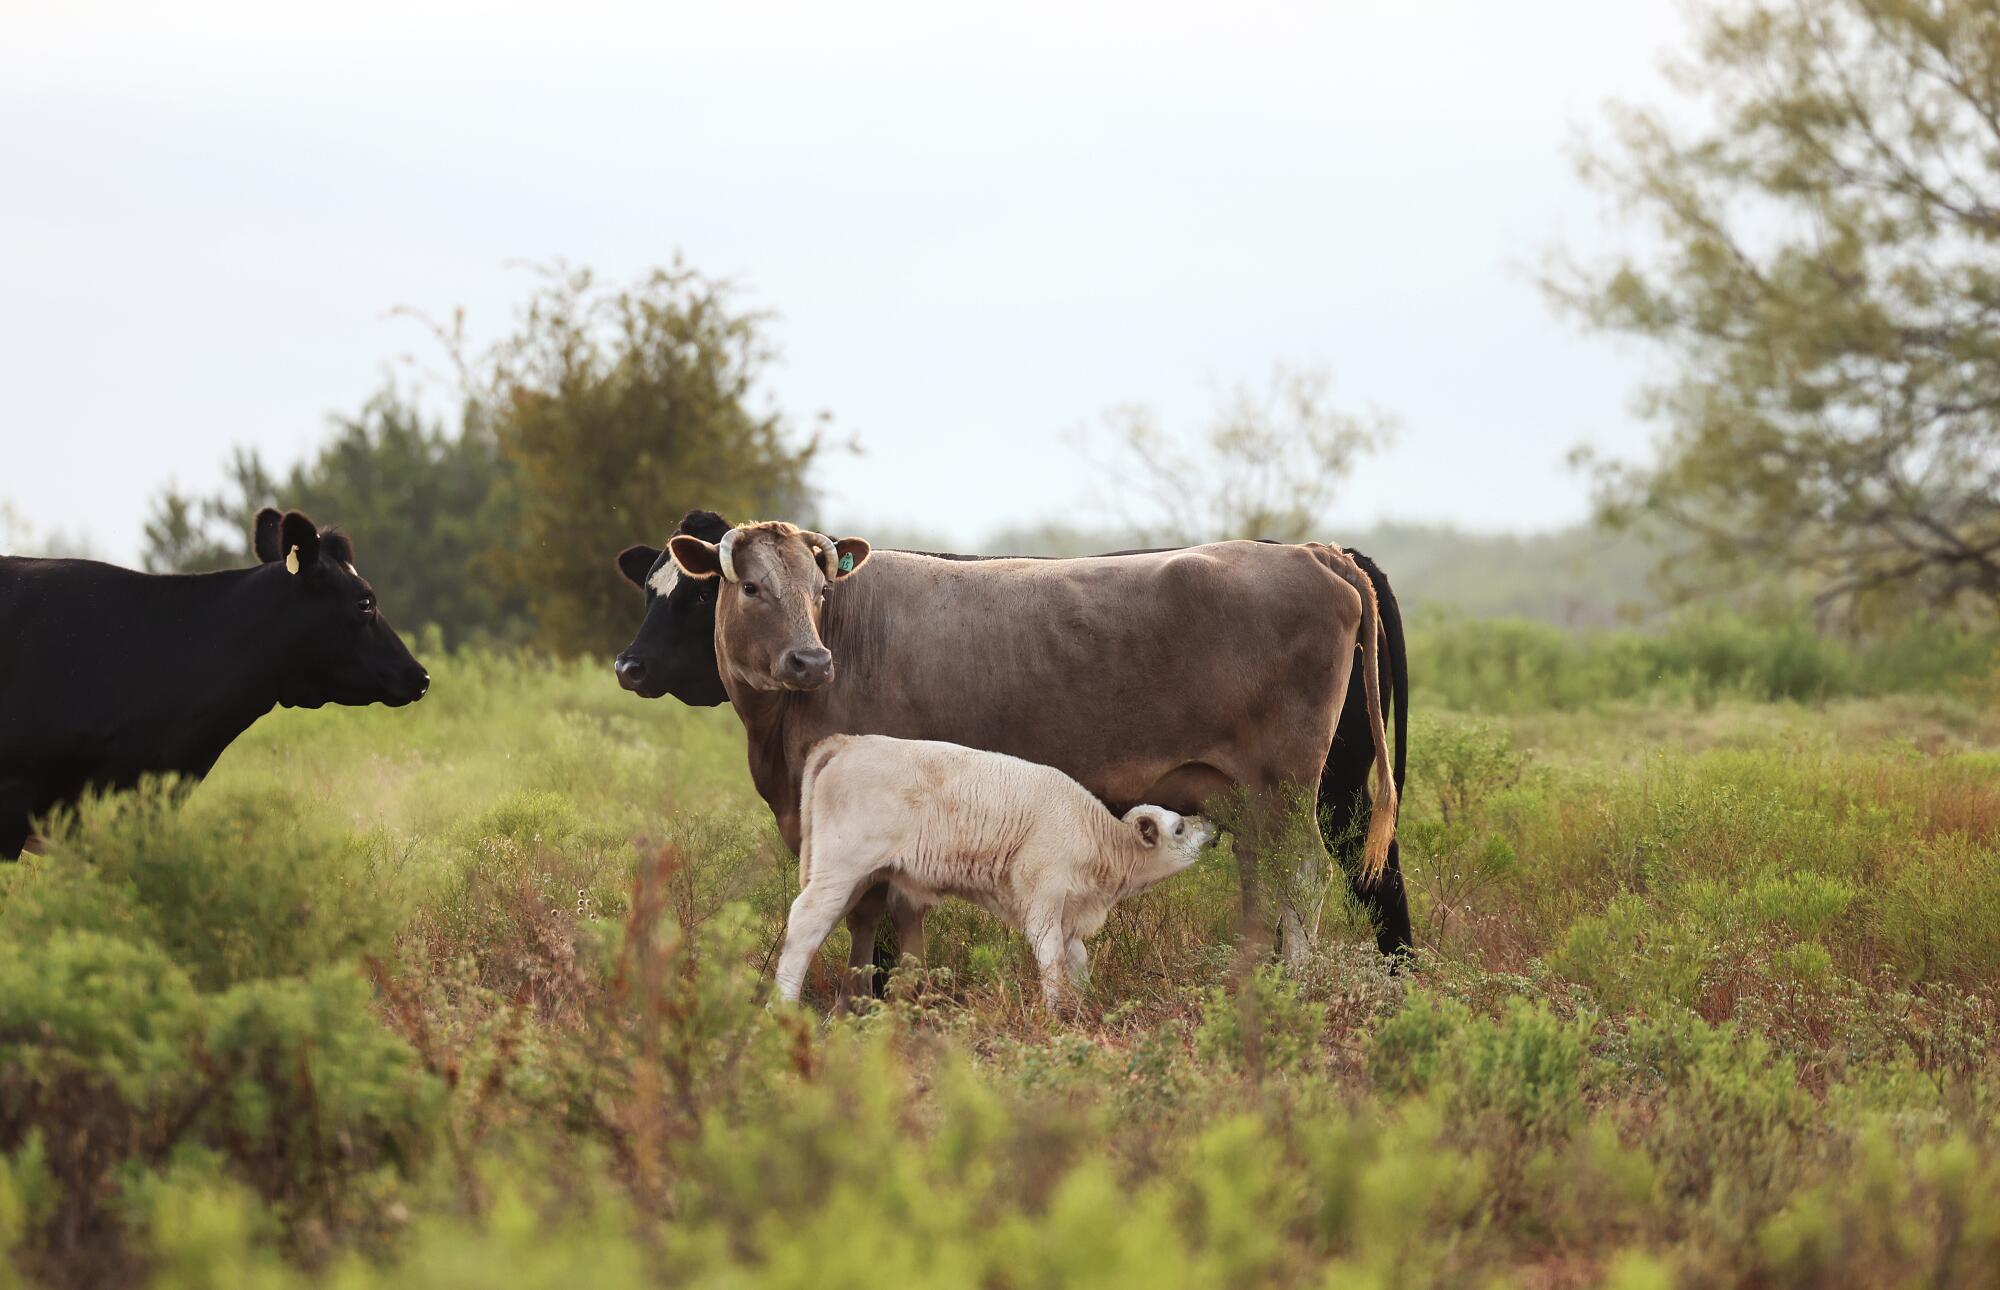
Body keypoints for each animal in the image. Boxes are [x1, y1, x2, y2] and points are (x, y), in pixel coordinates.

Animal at [616, 508, 1416, 960]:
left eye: (696, 594)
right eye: (745, 586)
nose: (631, 664)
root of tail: (1316, 551)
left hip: (1293, 786)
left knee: (1308, 877)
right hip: (1254, 794)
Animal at [772, 736, 1208, 1008]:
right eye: (1179, 829)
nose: (1212, 829)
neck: (1097, 838)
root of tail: (849, 742)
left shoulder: (1068, 911)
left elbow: (1076, 958)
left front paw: (1085, 1002)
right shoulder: (1043, 901)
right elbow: (1050, 957)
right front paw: (1057, 1012)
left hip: (860, 879)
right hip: (839, 872)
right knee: (806, 924)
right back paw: (783, 1006)